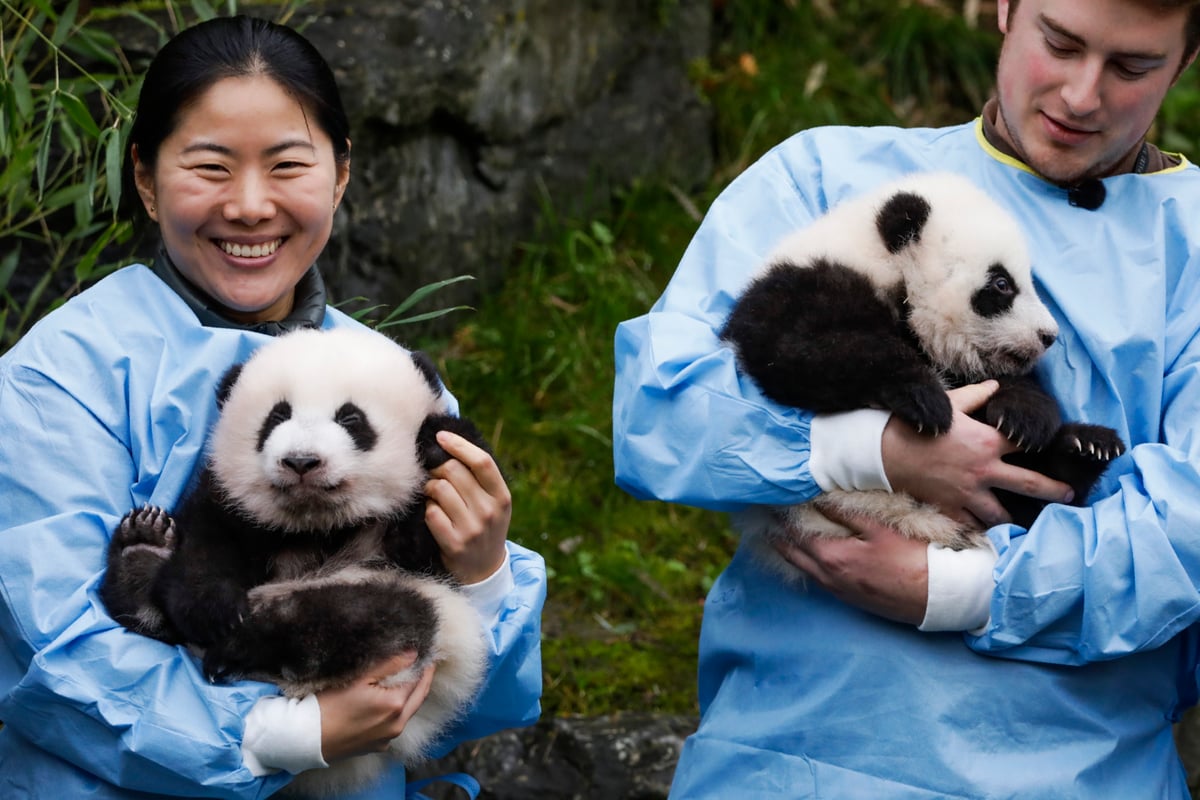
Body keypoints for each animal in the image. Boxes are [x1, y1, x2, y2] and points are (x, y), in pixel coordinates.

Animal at [100, 327, 491, 799]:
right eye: (276, 417)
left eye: (351, 419)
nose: (301, 461)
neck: (318, 524)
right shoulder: (231, 502)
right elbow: (206, 549)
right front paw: (214, 609)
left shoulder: (420, 549)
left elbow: (423, 537)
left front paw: (437, 440)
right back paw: (141, 557)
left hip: (421, 631)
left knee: (362, 617)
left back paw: (246, 639)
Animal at [720, 171, 1125, 575]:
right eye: (1002, 284)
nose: (1048, 336)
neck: (881, 265)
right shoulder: (797, 291)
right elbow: (800, 352)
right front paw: (926, 399)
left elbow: (1006, 381)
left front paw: (1025, 417)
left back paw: (1087, 447)